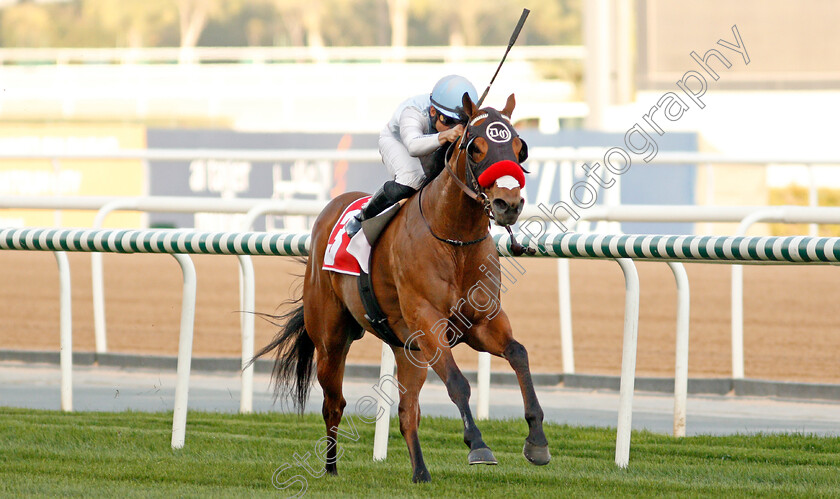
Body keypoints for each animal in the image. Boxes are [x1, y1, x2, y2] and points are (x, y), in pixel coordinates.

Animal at [260, 92, 556, 482]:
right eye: (475, 147)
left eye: (519, 148)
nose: (508, 203)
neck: (454, 239)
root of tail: (332, 207)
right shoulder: (429, 323)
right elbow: (458, 382)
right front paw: (478, 445)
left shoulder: (481, 323)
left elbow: (519, 353)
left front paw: (537, 440)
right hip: (330, 338)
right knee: (333, 403)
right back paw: (331, 469)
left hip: (406, 349)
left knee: (406, 412)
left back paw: (420, 473)